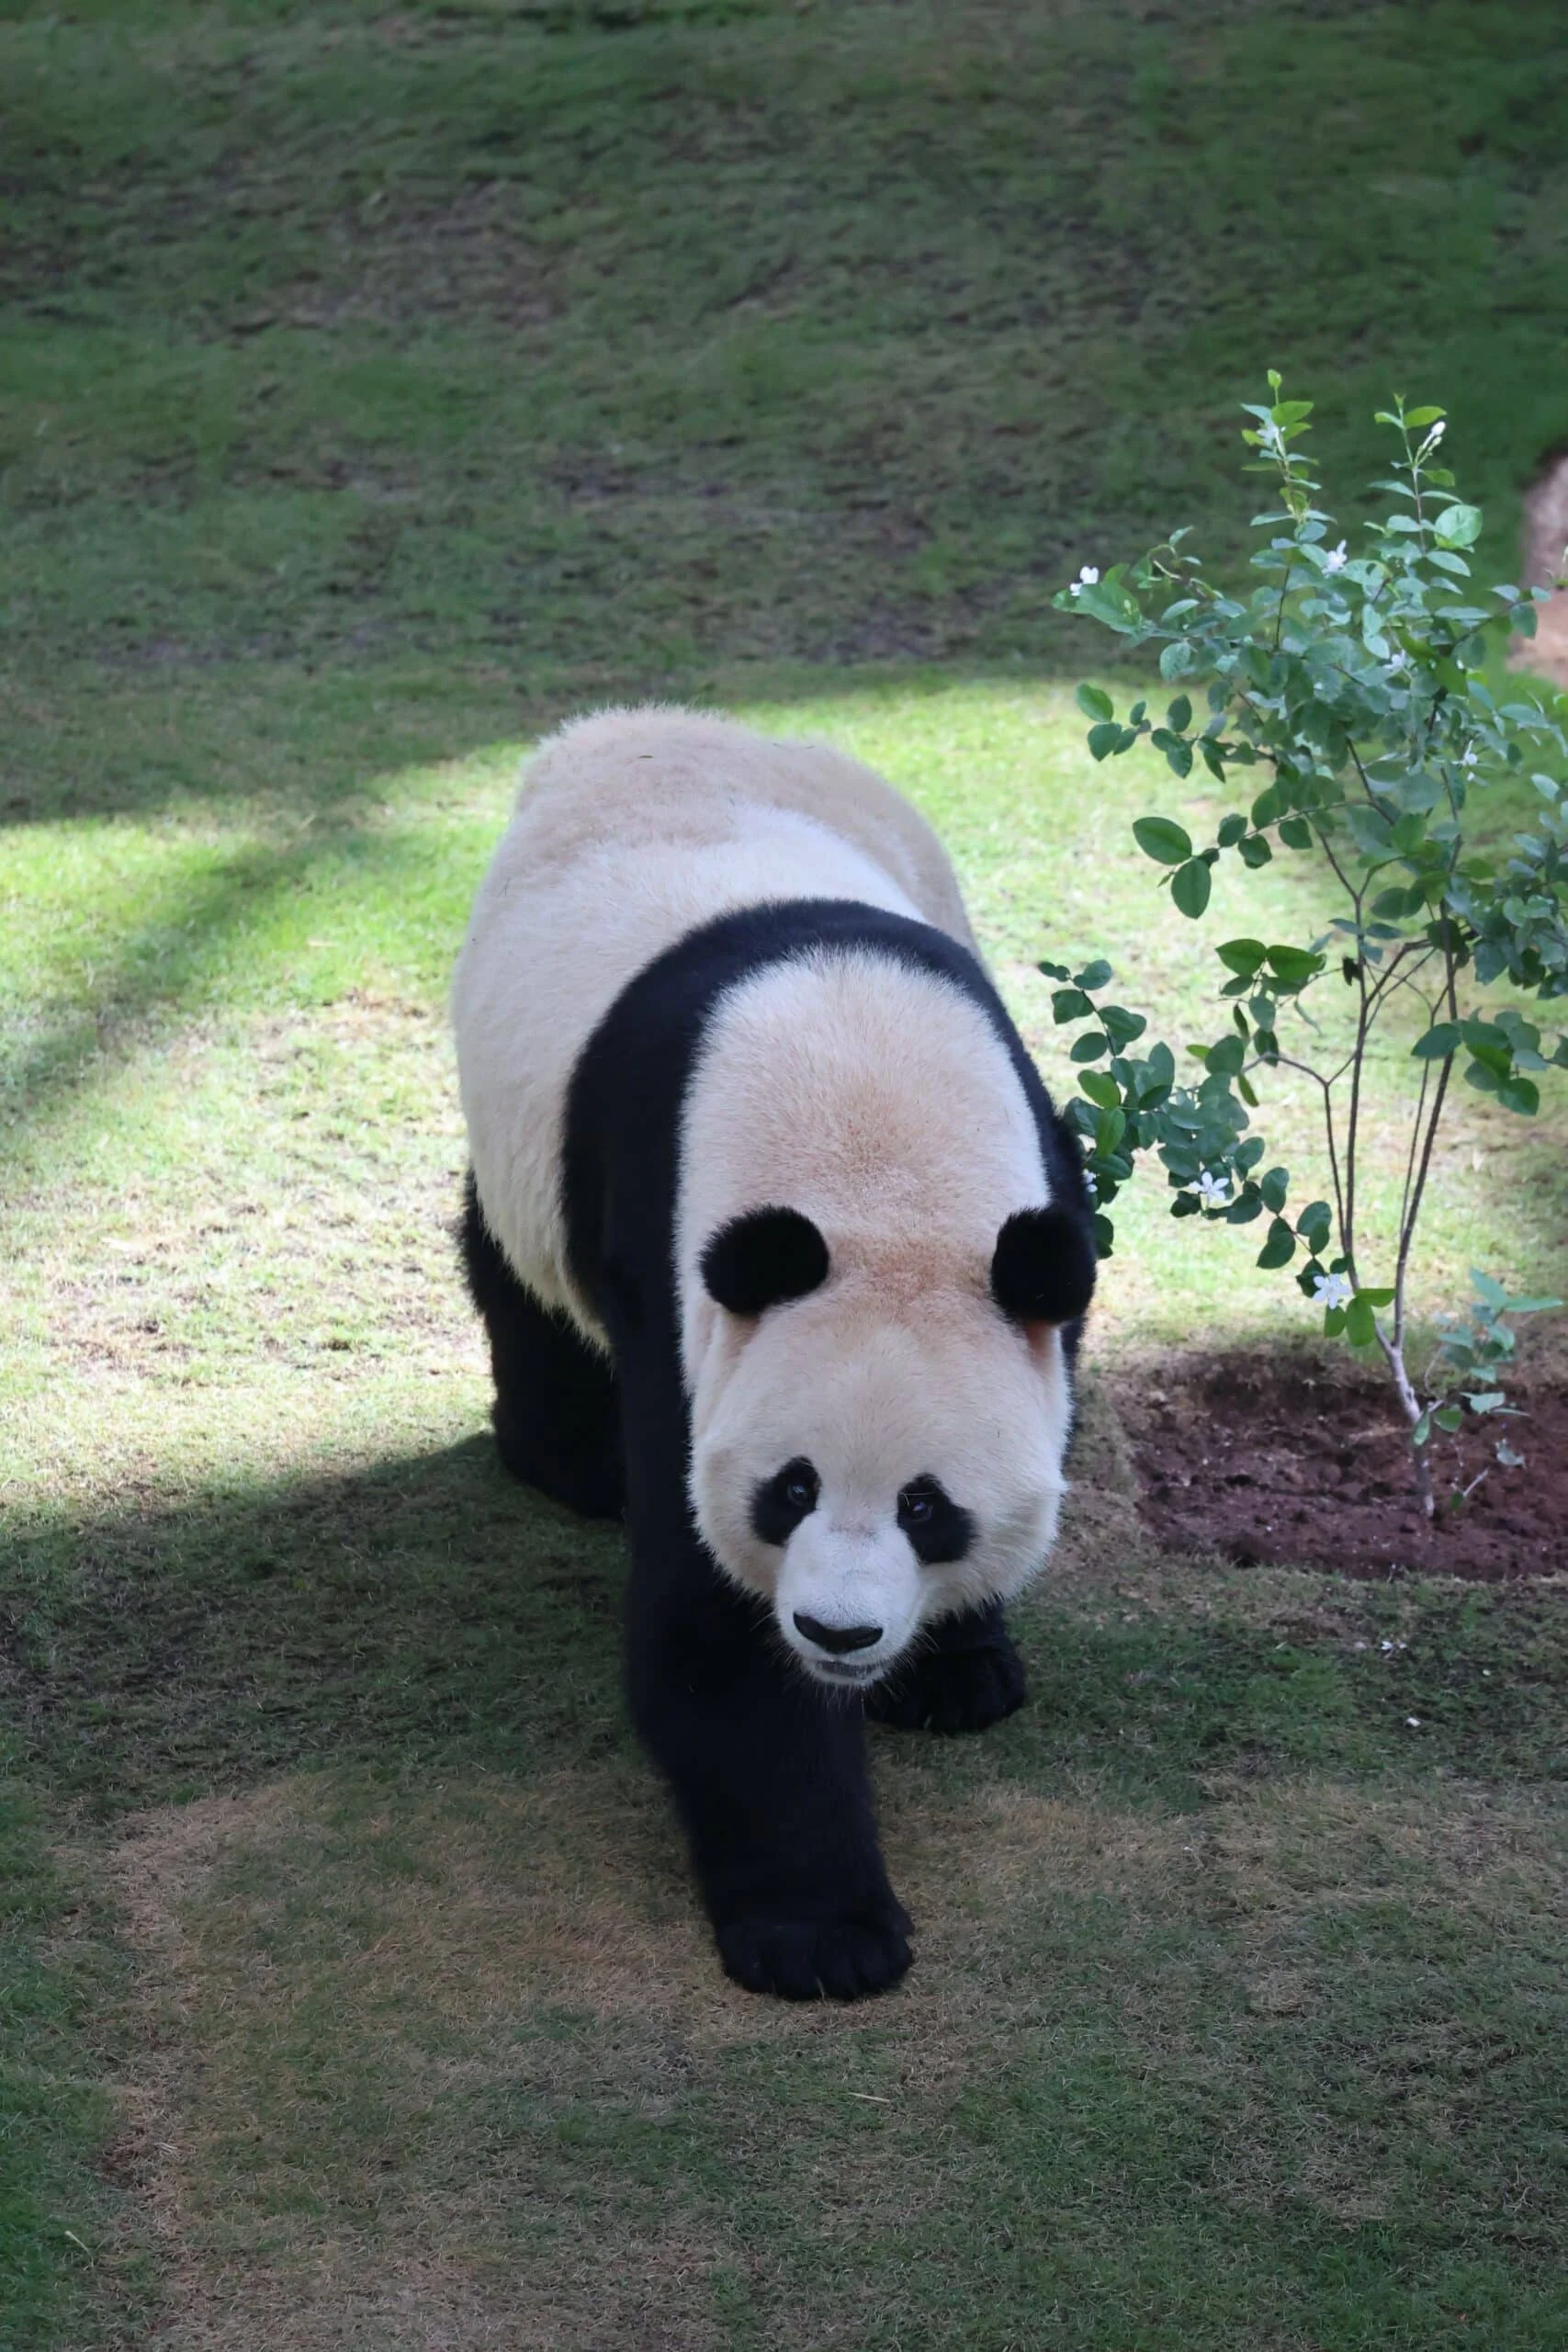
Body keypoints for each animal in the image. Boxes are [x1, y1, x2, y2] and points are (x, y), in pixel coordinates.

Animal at [452, 707, 1096, 2002]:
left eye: (927, 1507)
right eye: (789, 1490)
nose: (840, 1636)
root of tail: (626, 726)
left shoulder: (1044, 1204)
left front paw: (961, 1666)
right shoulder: (679, 1282)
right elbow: (710, 1626)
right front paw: (824, 1936)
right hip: (529, 1136)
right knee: (516, 1266)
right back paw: (568, 1459)